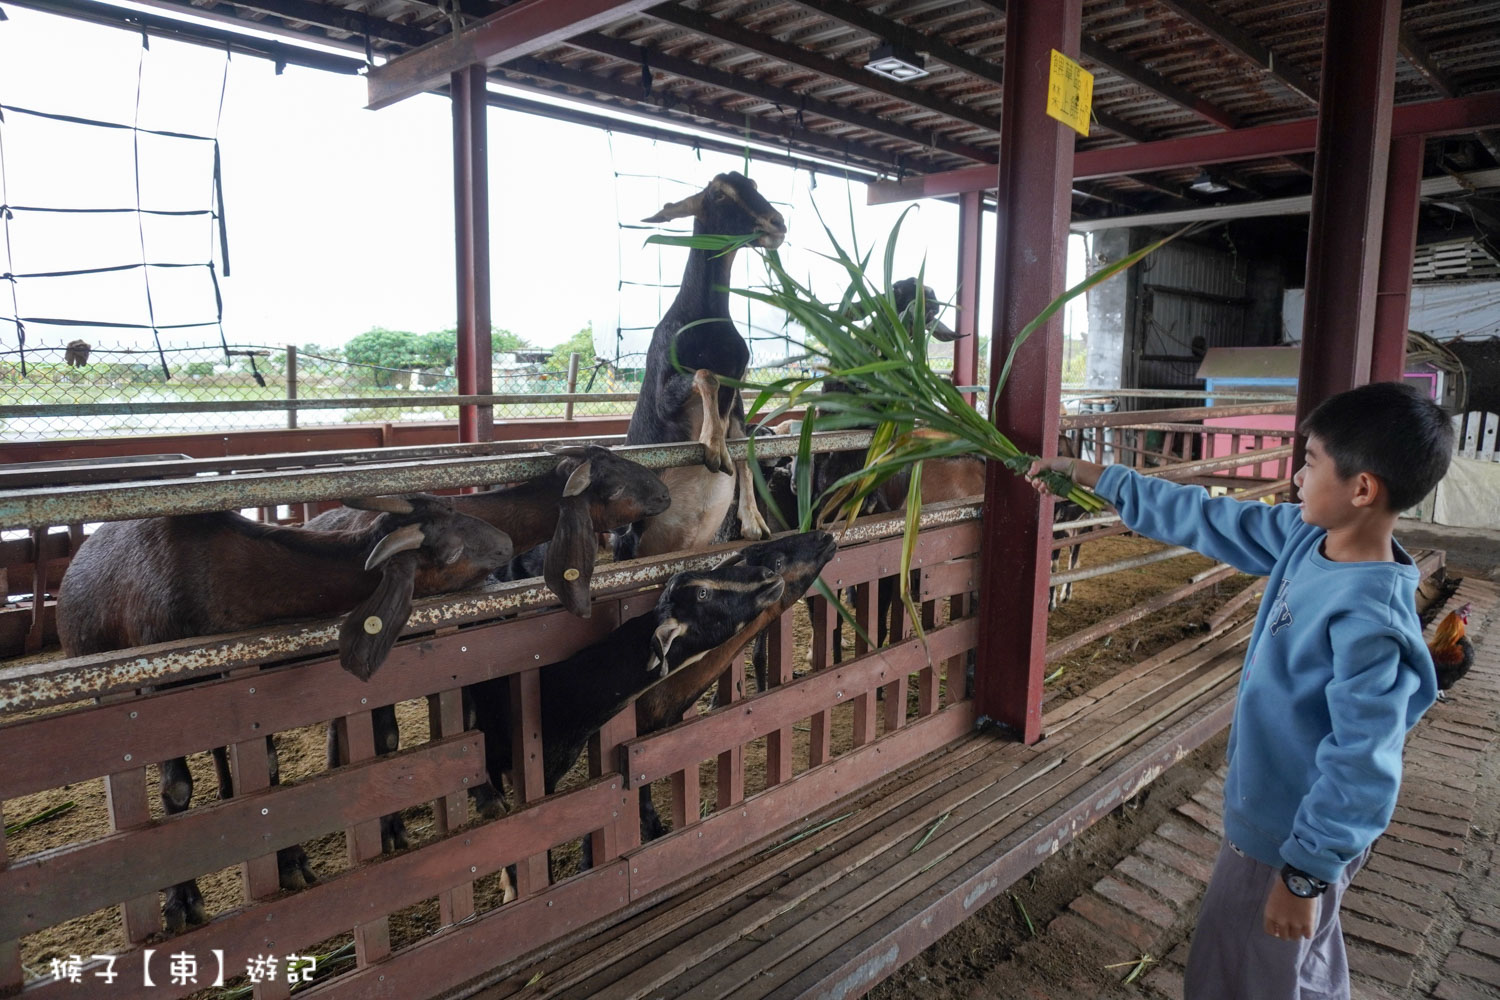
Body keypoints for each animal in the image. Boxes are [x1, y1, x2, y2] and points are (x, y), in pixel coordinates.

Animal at [615, 172, 792, 563]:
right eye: (719, 194)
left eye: (753, 184)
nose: (777, 223)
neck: (705, 320)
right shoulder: (665, 394)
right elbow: (705, 375)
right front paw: (712, 446)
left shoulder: (737, 396)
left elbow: (743, 447)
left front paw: (754, 521)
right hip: (627, 541)